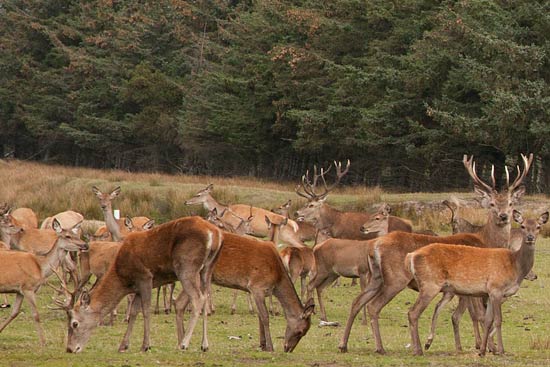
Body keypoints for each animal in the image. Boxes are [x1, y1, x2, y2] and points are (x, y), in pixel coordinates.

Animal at [66, 217, 224, 356]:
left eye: (74, 323)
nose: (69, 349)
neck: (123, 278)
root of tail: (215, 234)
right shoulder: (137, 288)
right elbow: (134, 312)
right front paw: (123, 345)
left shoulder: (145, 278)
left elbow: (146, 310)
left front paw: (146, 345)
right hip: (207, 268)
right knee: (205, 297)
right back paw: (204, 345)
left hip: (186, 266)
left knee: (198, 298)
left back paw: (184, 343)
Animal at [408, 211, 548, 358]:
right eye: (522, 226)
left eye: (538, 226)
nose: (530, 238)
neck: (515, 267)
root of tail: (411, 256)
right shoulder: (496, 289)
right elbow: (498, 320)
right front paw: (501, 350)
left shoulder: (490, 293)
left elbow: (488, 320)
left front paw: (482, 351)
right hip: (430, 284)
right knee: (413, 312)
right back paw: (418, 350)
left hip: (443, 288)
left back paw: (425, 344)